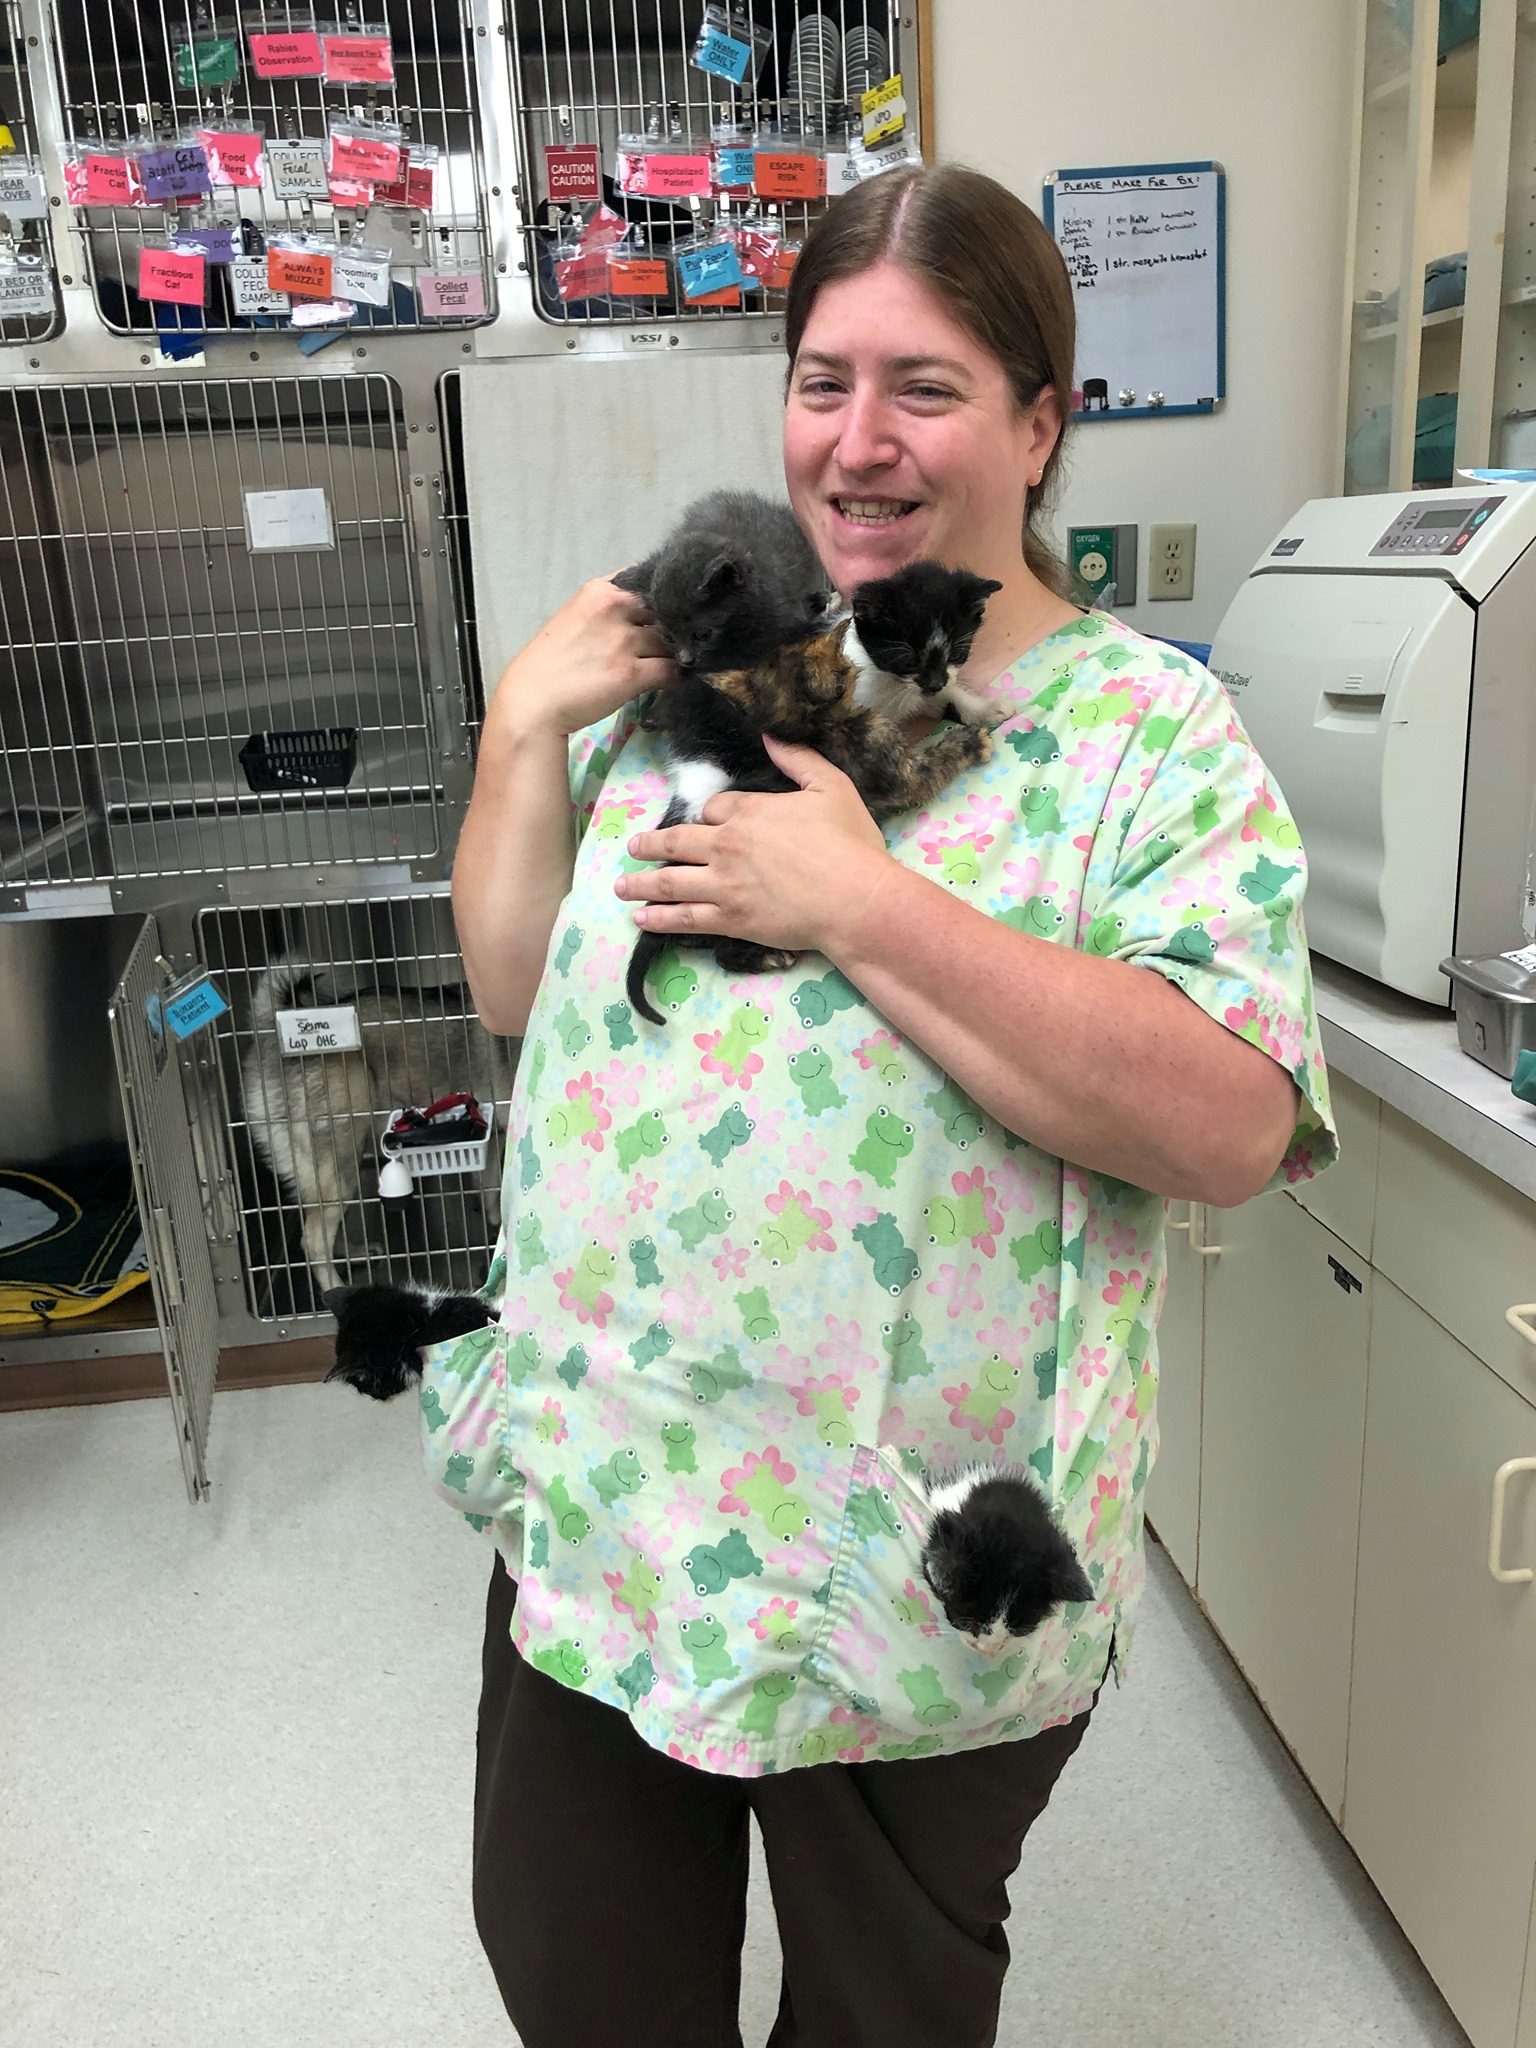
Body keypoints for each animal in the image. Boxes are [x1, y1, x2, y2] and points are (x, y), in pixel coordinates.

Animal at [241, 956, 520, 1297]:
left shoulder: (493, 1135)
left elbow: (492, 1189)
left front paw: (494, 1221)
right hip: (340, 1160)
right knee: (315, 1239)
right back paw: (336, 1289)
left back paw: (356, 1252)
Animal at [625, 559, 1002, 1027]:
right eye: (905, 653)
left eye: (957, 649)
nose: (932, 682)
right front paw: (971, 735)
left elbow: (943, 695)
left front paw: (979, 706)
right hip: (709, 770)